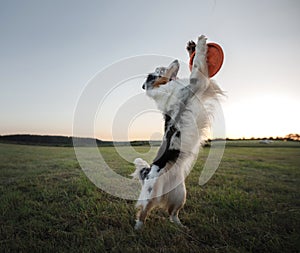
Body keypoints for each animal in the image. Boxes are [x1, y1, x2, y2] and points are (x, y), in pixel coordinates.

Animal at [131, 35, 223, 229]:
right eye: (159, 71)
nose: (174, 60)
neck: (164, 89)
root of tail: (148, 171)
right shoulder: (196, 82)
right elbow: (197, 63)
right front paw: (200, 44)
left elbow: (197, 63)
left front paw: (191, 48)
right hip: (151, 193)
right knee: (142, 211)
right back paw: (137, 228)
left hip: (180, 194)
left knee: (172, 214)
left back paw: (181, 227)